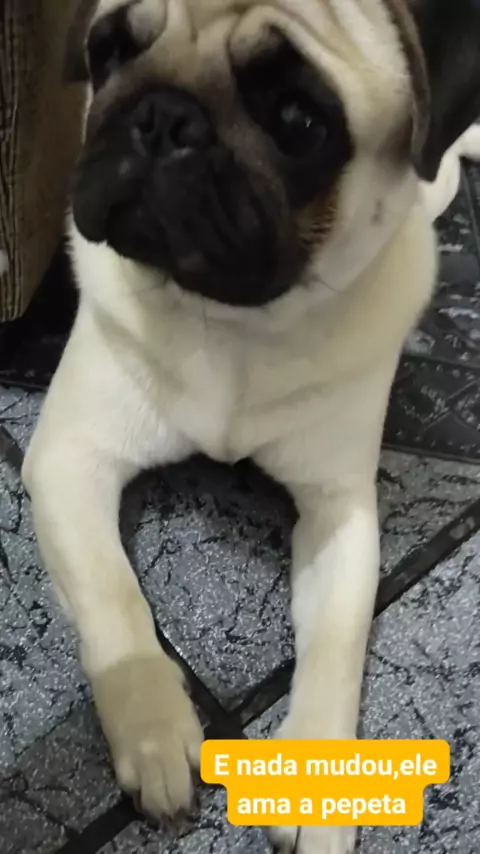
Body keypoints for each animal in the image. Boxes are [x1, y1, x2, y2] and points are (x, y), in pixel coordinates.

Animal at [23, 1, 480, 852]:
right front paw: (154, 728)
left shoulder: (341, 514)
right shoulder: (68, 461)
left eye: (299, 122)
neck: (232, 323)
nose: (162, 117)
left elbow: (337, 640)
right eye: (108, 52)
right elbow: (114, 602)